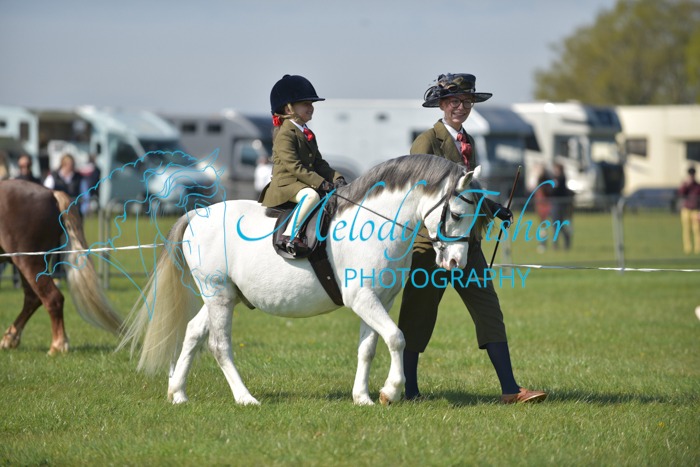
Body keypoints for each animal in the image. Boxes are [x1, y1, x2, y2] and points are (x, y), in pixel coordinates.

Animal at [0, 179, 123, 354]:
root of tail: (51, 194)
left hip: (28, 261)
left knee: (52, 298)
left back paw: (58, 345)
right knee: (33, 298)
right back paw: (10, 338)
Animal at [119, 154, 488, 405]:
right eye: (457, 214)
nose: (456, 262)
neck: (375, 224)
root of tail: (197, 214)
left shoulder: (379, 299)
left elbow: (368, 348)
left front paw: (363, 397)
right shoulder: (362, 298)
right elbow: (397, 338)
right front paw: (390, 391)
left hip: (222, 296)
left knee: (194, 333)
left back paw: (178, 393)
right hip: (219, 295)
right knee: (219, 345)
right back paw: (245, 398)